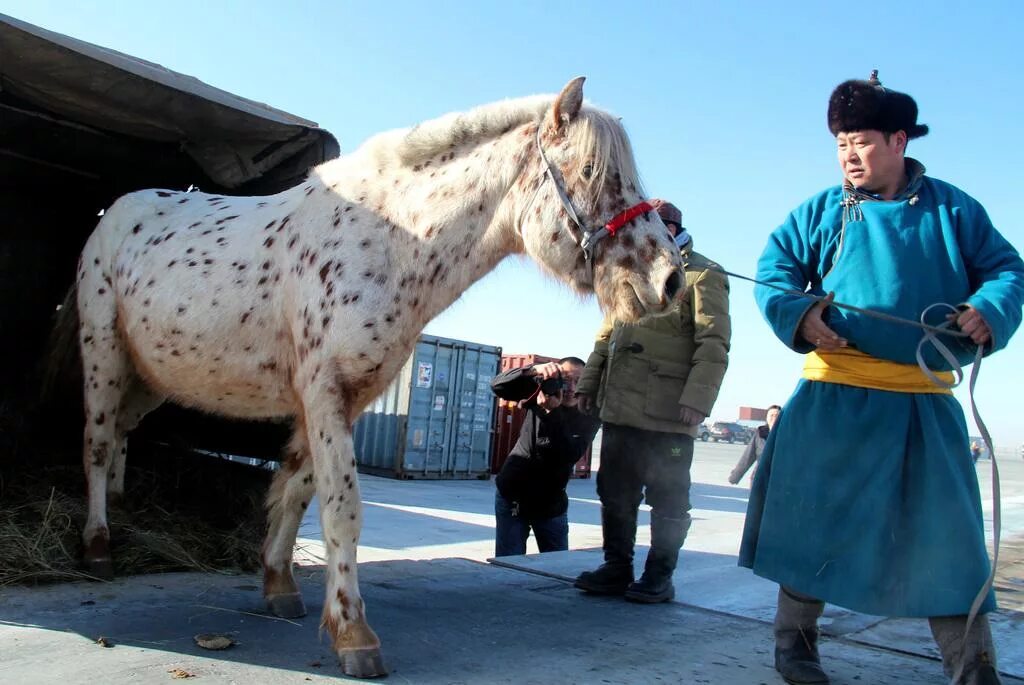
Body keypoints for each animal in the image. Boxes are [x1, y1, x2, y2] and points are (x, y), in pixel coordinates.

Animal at [68, 77, 684, 675]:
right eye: (593, 171)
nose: (670, 280)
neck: (388, 241)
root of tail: (113, 214)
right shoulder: (324, 394)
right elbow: (341, 509)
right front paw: (354, 635)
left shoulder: (348, 398)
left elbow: (297, 490)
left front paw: (279, 585)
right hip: (103, 353)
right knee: (97, 440)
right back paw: (98, 547)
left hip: (150, 378)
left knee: (121, 433)